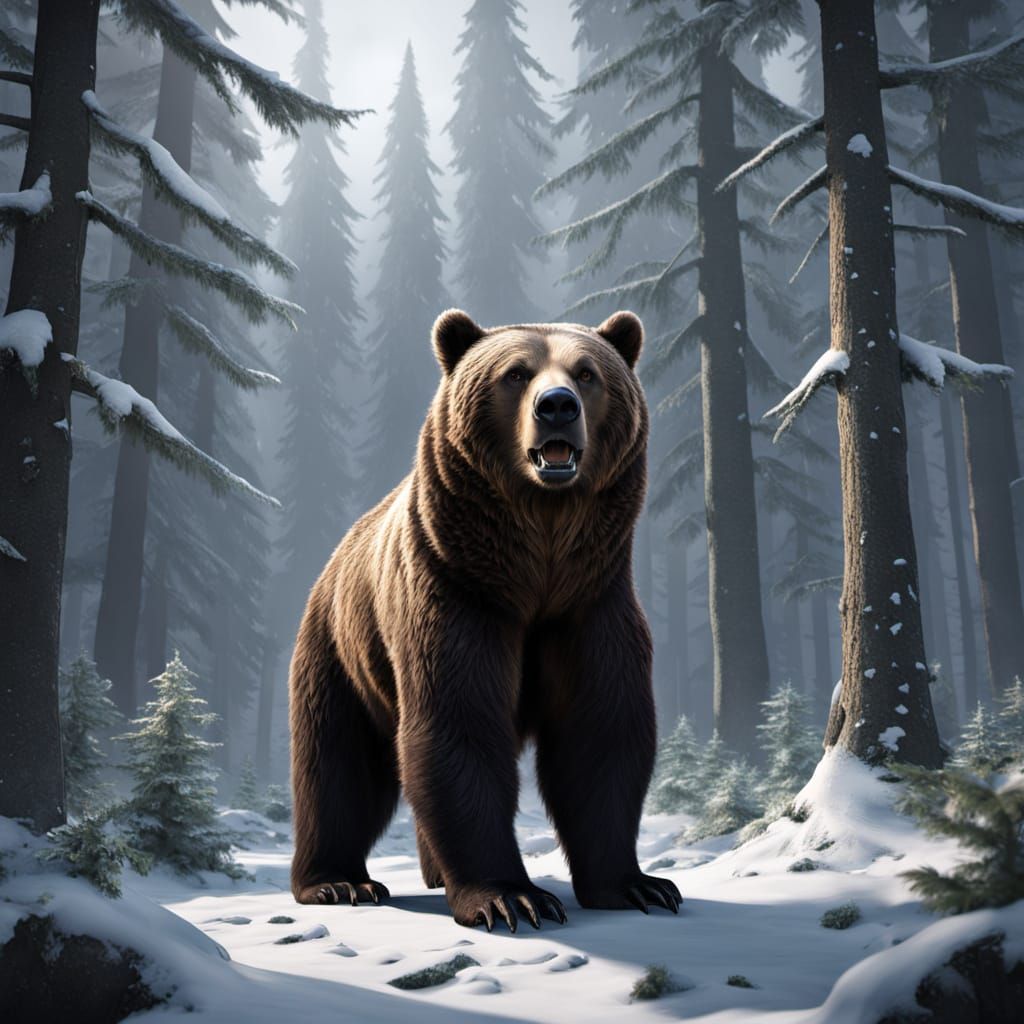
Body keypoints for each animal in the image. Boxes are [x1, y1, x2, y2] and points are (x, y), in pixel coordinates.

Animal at [288, 308, 681, 932]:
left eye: (587, 372)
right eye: (516, 373)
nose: (557, 406)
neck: (534, 571)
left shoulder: (590, 605)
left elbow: (600, 731)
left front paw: (638, 885)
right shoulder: (456, 594)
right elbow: (458, 725)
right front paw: (512, 897)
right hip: (342, 652)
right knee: (339, 768)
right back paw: (338, 881)